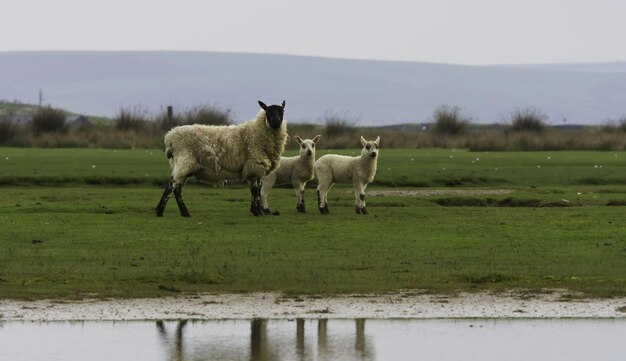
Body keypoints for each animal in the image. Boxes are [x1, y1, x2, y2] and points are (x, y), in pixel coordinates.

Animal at [155, 99, 286, 217]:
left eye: (282, 111)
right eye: (268, 111)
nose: (275, 121)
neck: (258, 132)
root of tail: (169, 137)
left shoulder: (256, 170)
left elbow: (257, 190)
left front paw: (257, 211)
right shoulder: (254, 166)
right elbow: (255, 190)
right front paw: (256, 212)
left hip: (184, 165)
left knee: (177, 188)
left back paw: (183, 213)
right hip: (184, 162)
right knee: (171, 186)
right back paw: (161, 212)